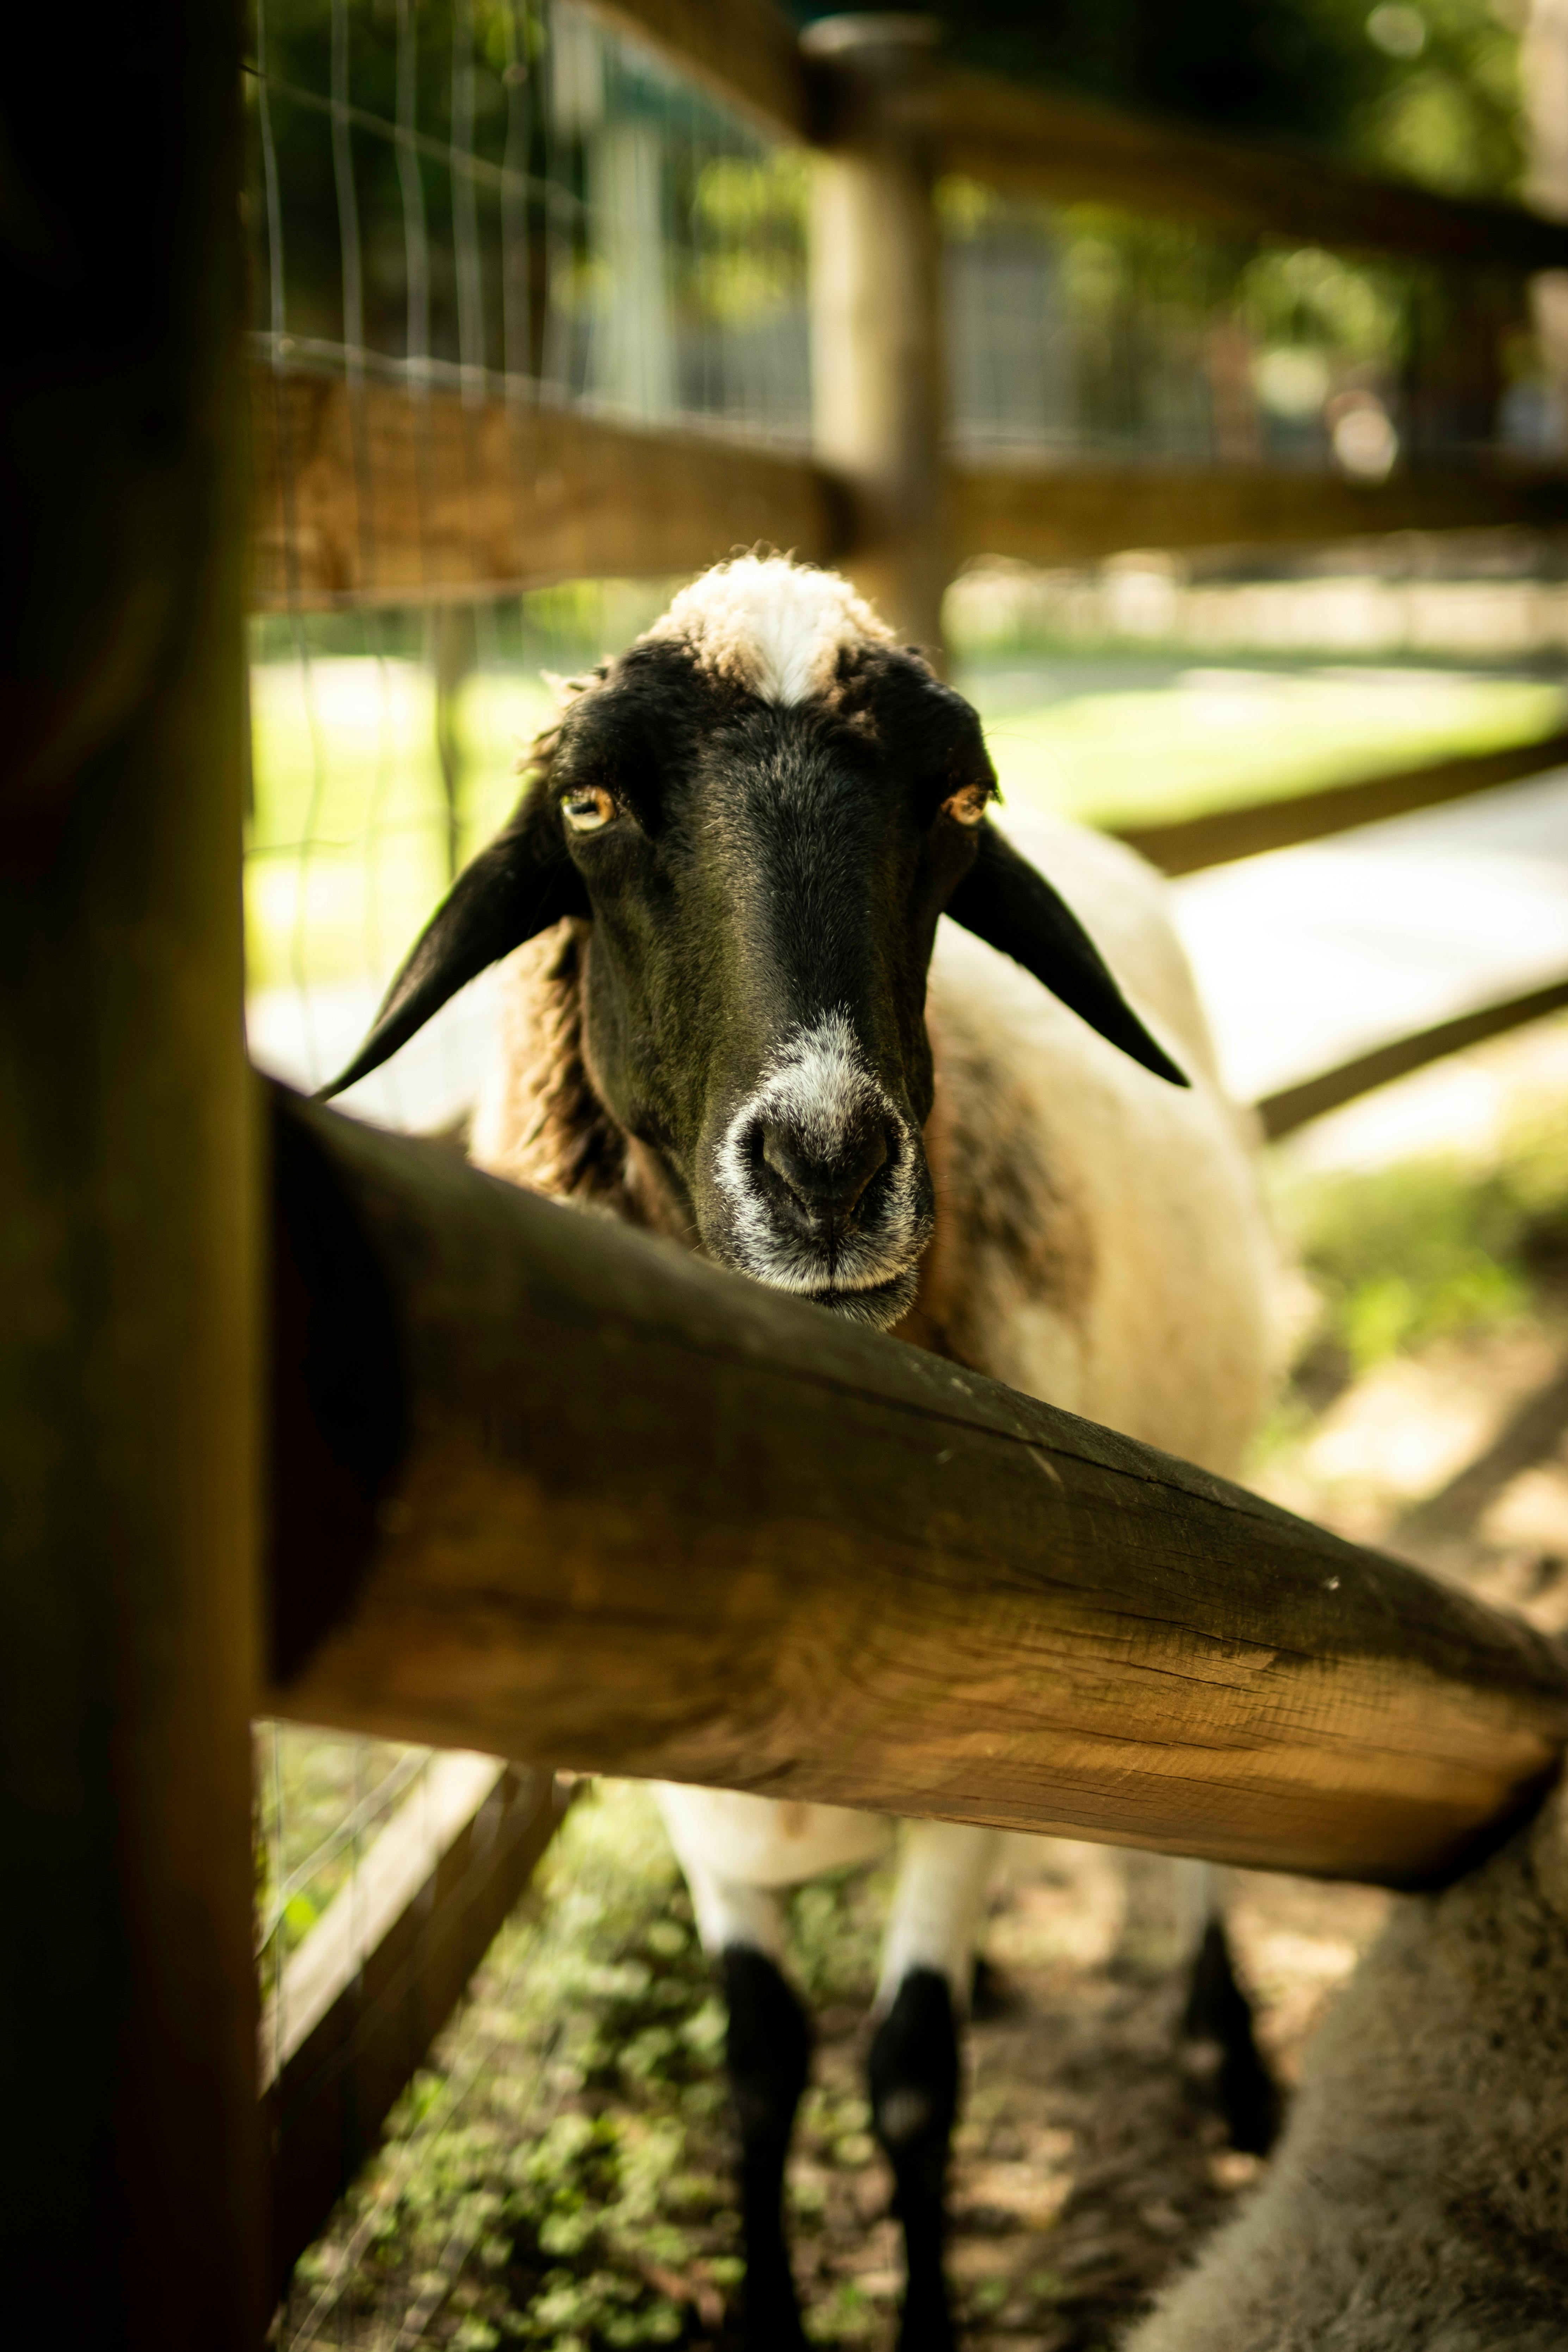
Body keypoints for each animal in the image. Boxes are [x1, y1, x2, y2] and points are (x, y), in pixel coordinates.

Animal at [325, 554, 1280, 2352]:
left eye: (958, 805)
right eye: (587, 803)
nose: (827, 1162)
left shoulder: (994, 1750)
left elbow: (907, 2078)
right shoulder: (690, 1802)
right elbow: (761, 2071)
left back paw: (1239, 2053)